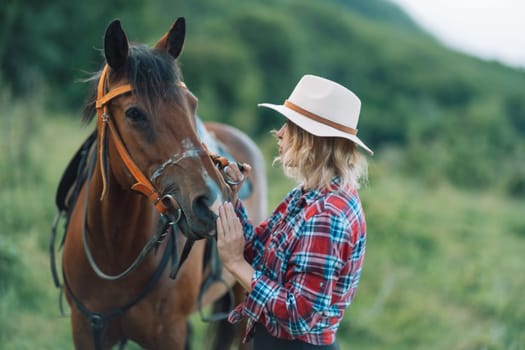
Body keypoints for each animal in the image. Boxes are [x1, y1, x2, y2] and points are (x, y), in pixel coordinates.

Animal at [57, 19, 266, 350]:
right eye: (134, 113)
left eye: (192, 104)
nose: (211, 203)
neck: (113, 250)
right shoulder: (87, 330)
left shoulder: (170, 334)